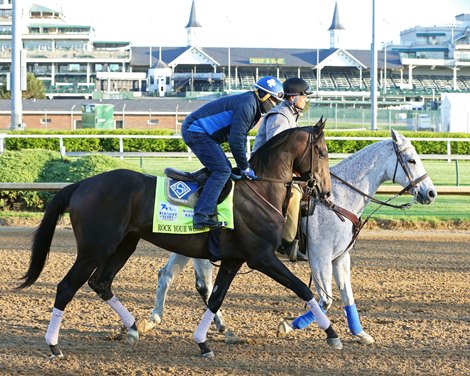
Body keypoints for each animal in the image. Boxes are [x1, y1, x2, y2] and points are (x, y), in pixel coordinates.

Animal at [19, 120, 342, 358]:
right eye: (323, 153)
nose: (326, 192)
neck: (260, 190)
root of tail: (81, 184)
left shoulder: (234, 260)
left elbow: (215, 298)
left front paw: (203, 342)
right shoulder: (261, 257)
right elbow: (302, 288)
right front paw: (332, 333)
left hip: (125, 244)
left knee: (101, 282)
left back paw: (133, 328)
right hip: (95, 249)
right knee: (66, 287)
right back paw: (54, 346)